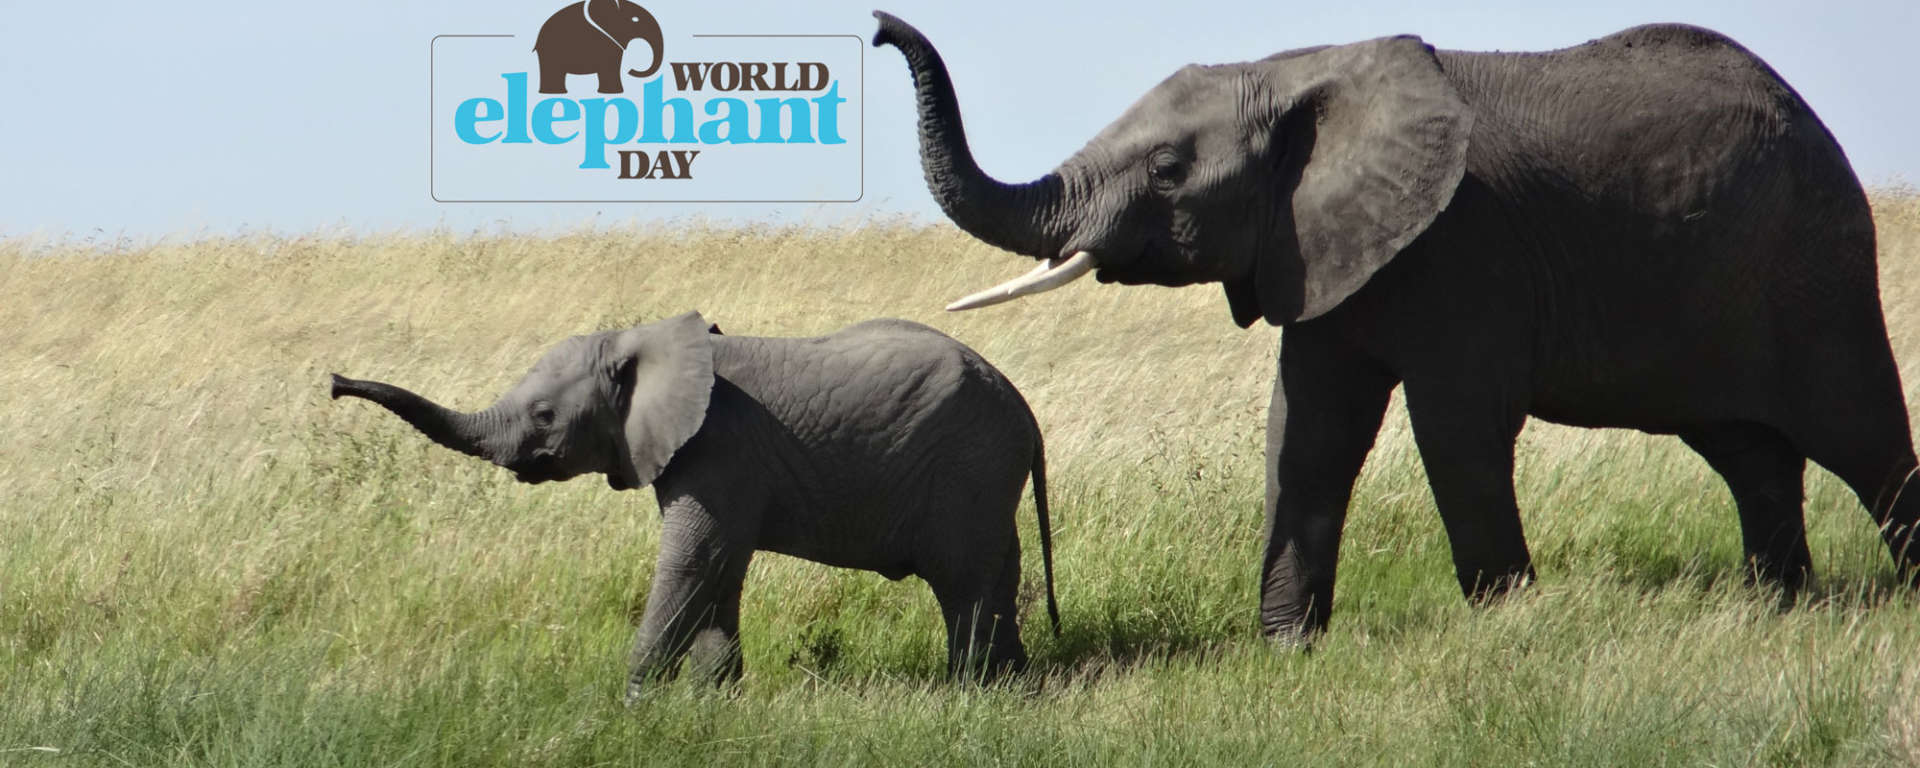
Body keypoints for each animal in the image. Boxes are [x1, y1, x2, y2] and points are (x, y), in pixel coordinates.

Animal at [329, 312, 1059, 695]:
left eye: (543, 415)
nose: (335, 382)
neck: (643, 341)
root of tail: (1025, 410)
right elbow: (719, 570)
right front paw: (716, 699)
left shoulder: (719, 448)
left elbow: (693, 561)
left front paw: (634, 704)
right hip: (987, 474)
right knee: (1000, 572)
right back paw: (1015, 686)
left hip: (968, 466)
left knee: (963, 581)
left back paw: (969, 691)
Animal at [871, 12, 1920, 642]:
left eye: (1168, 170)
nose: (881, 27)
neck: (1296, 72)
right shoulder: (1316, 248)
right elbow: (1306, 433)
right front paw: (1287, 650)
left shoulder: (1464, 244)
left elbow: (1455, 429)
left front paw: (1507, 630)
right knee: (1748, 453)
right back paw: (1775, 611)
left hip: (1817, 260)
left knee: (1861, 435)